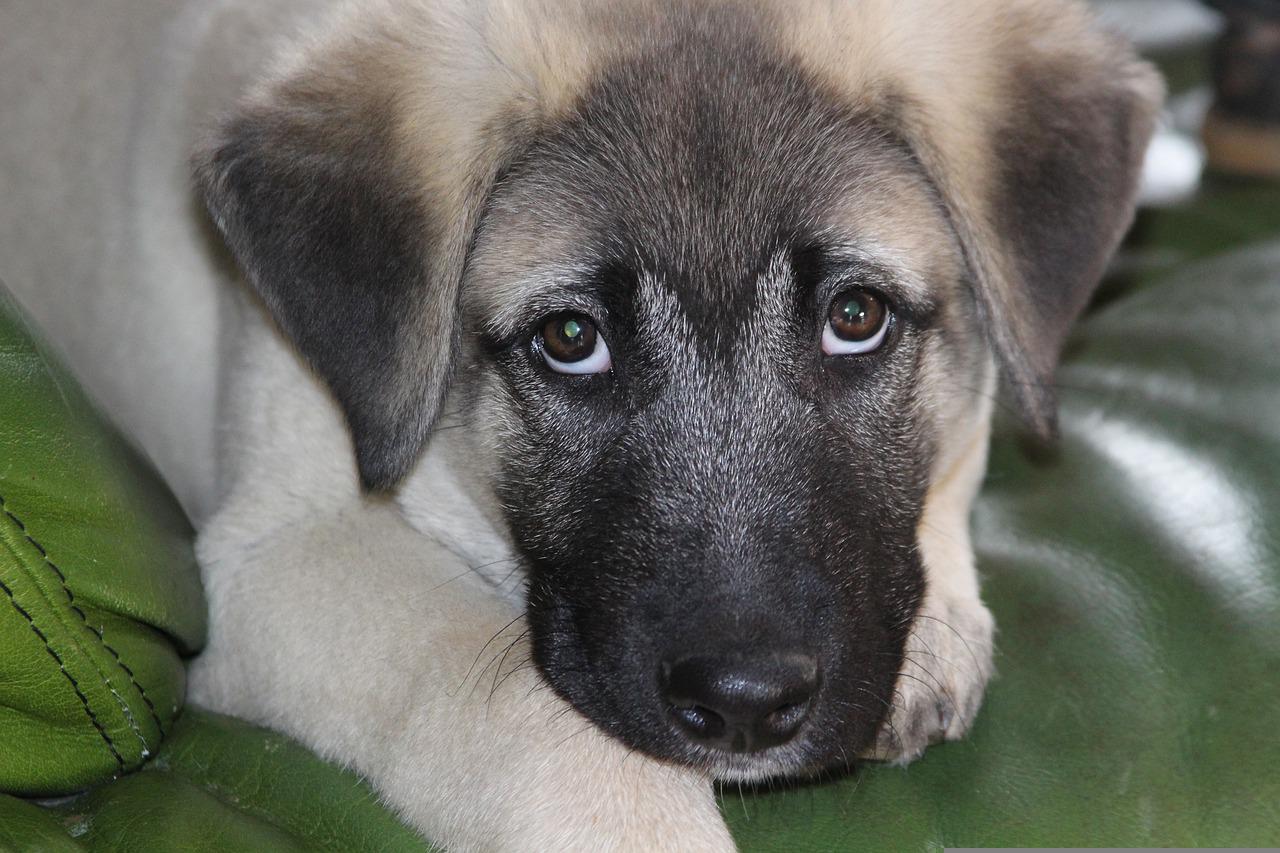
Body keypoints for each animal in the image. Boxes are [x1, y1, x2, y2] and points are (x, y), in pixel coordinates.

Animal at [0, 1, 1162, 845]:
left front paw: (937, 626)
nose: (746, 704)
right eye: (569, 338)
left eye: (856, 317)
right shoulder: (282, 545)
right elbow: (520, 709)